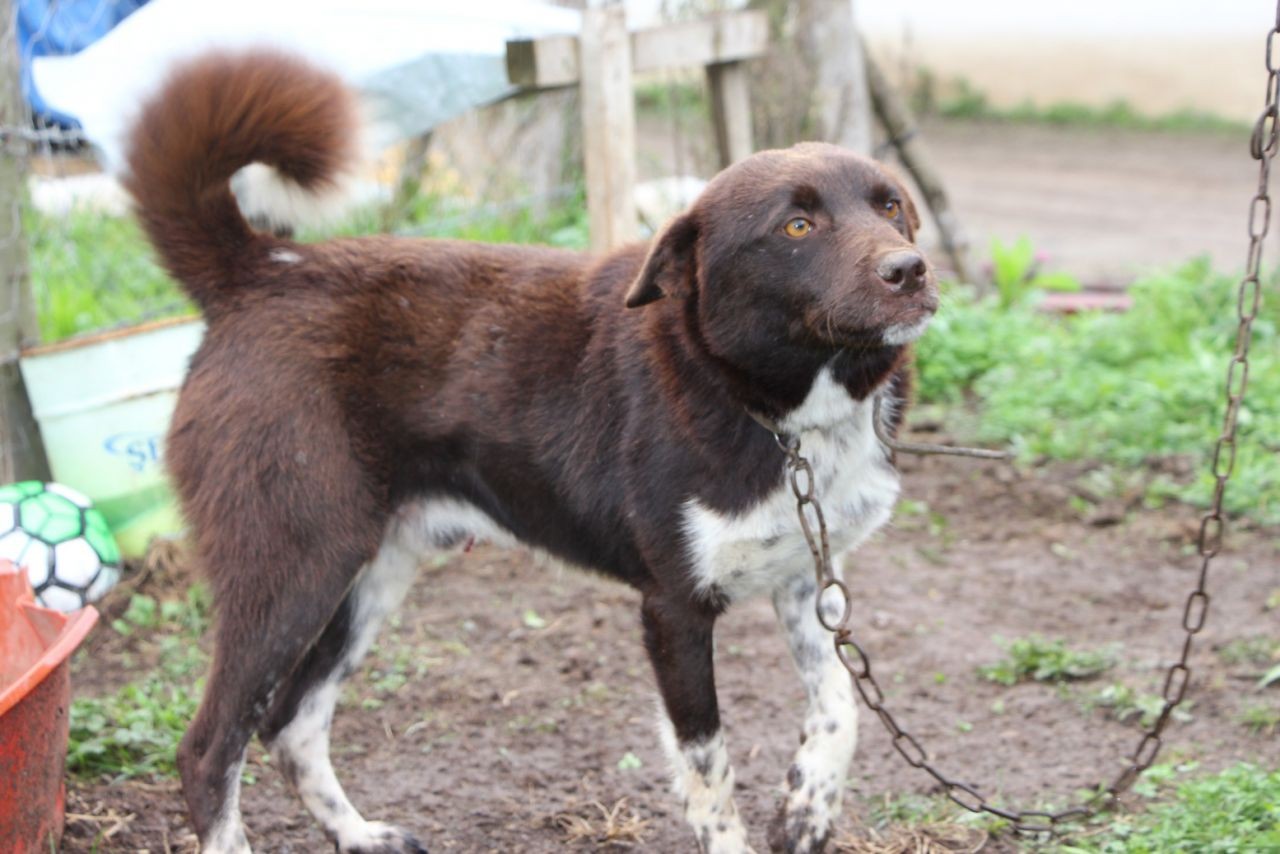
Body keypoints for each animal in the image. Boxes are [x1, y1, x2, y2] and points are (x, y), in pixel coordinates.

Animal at [122, 48, 942, 854]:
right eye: (798, 225)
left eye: (891, 207)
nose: (910, 270)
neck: (776, 409)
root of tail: (258, 271)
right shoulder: (672, 611)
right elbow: (709, 770)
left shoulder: (806, 579)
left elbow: (841, 707)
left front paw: (807, 810)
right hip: (292, 567)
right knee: (211, 748)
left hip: (369, 573)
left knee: (290, 721)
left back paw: (360, 834)